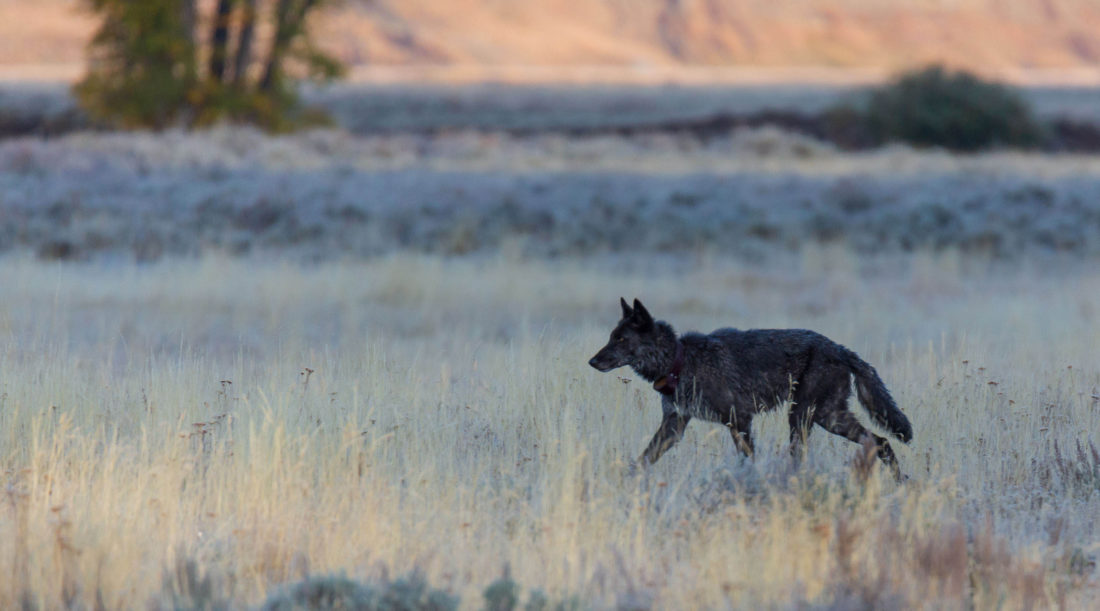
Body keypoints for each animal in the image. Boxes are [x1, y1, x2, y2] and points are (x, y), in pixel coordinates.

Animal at [589, 299, 915, 477]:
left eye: (621, 339)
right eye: (611, 337)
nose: (592, 361)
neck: (680, 361)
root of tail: (841, 349)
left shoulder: (739, 420)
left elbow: (748, 462)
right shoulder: (674, 426)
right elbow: (643, 459)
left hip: (804, 417)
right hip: (829, 418)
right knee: (881, 443)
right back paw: (901, 483)